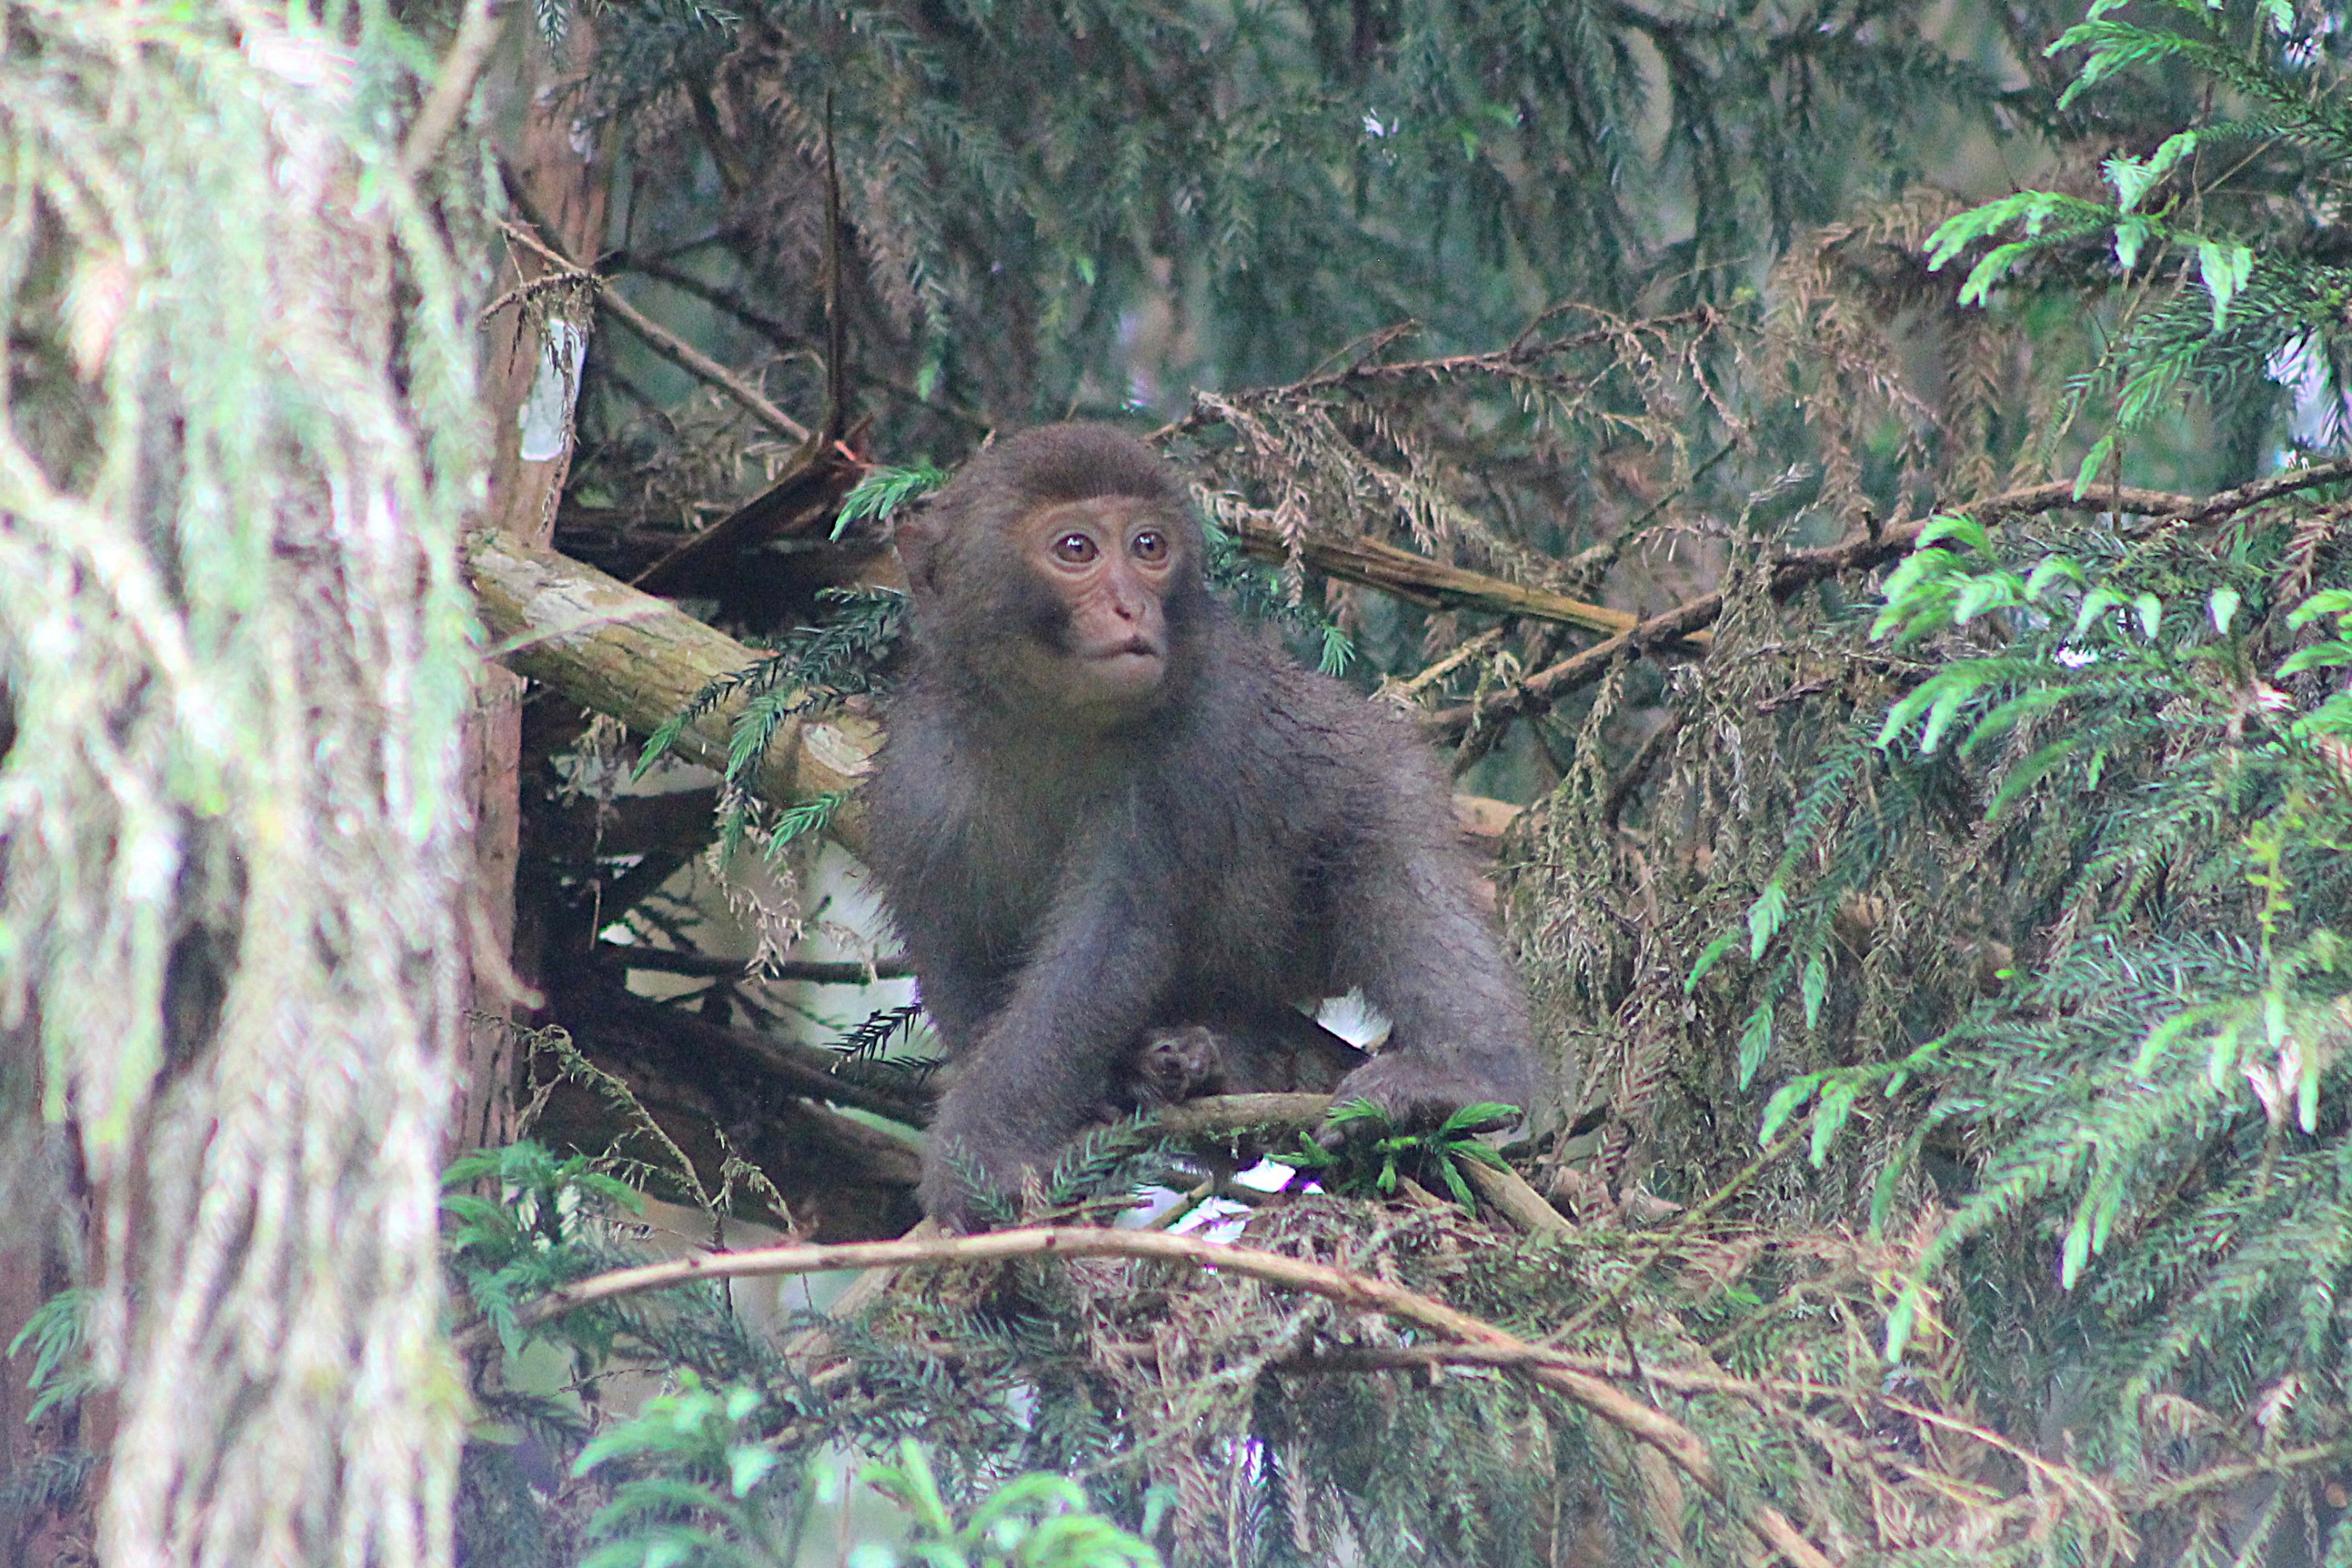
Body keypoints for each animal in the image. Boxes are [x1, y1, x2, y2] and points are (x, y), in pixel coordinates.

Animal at [862, 423, 1535, 1229]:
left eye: (1149, 546)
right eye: (1077, 549)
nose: (1130, 606)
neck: (1050, 724)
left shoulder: (1189, 750)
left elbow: (1108, 947)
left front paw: (980, 1156)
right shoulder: (917, 789)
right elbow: (959, 957)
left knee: (1389, 856)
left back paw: (1469, 1076)